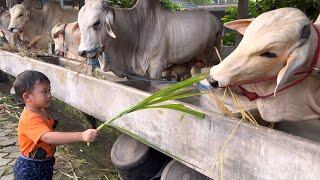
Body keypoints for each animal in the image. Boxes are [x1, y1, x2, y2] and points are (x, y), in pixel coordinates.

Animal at [78, 0, 222, 79]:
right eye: (79, 23)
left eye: (97, 22)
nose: (81, 52)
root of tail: (216, 20)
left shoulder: (156, 67)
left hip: (213, 57)